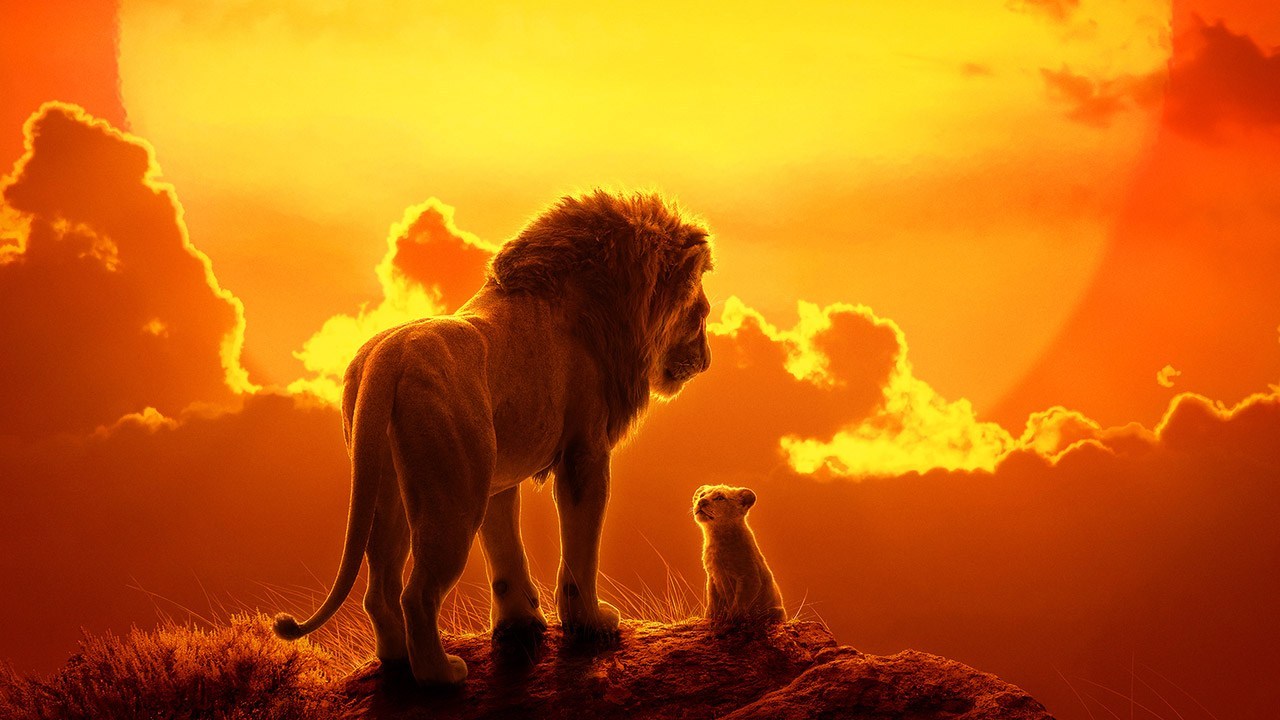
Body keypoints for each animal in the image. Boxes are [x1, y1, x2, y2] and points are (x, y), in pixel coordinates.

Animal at [273, 190, 714, 685]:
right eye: (701, 315)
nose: (707, 360)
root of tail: (387, 358)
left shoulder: (498, 476)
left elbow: (505, 552)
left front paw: (520, 624)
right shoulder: (585, 453)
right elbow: (580, 550)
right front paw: (591, 624)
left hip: (389, 490)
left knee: (381, 589)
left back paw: (397, 662)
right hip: (453, 498)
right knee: (417, 594)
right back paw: (441, 675)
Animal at [693, 484, 785, 623]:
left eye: (720, 498)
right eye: (702, 495)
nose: (701, 502)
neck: (716, 537)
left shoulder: (749, 577)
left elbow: (740, 602)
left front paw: (732, 619)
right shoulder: (712, 577)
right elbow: (712, 600)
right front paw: (711, 617)